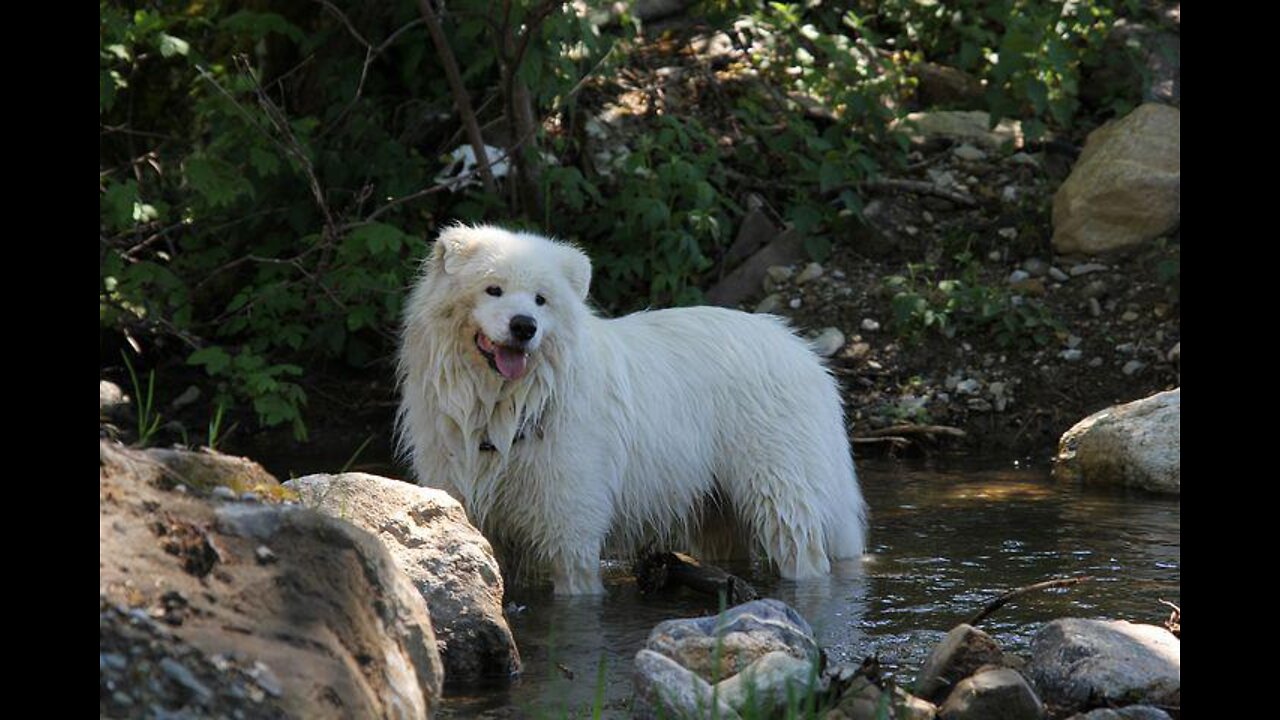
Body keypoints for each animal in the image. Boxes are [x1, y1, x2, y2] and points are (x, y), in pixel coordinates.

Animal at [394, 225, 865, 594]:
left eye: (541, 300)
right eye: (493, 289)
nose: (524, 326)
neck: (505, 405)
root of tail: (806, 355)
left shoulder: (571, 524)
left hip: (779, 488)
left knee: (803, 549)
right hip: (717, 508)